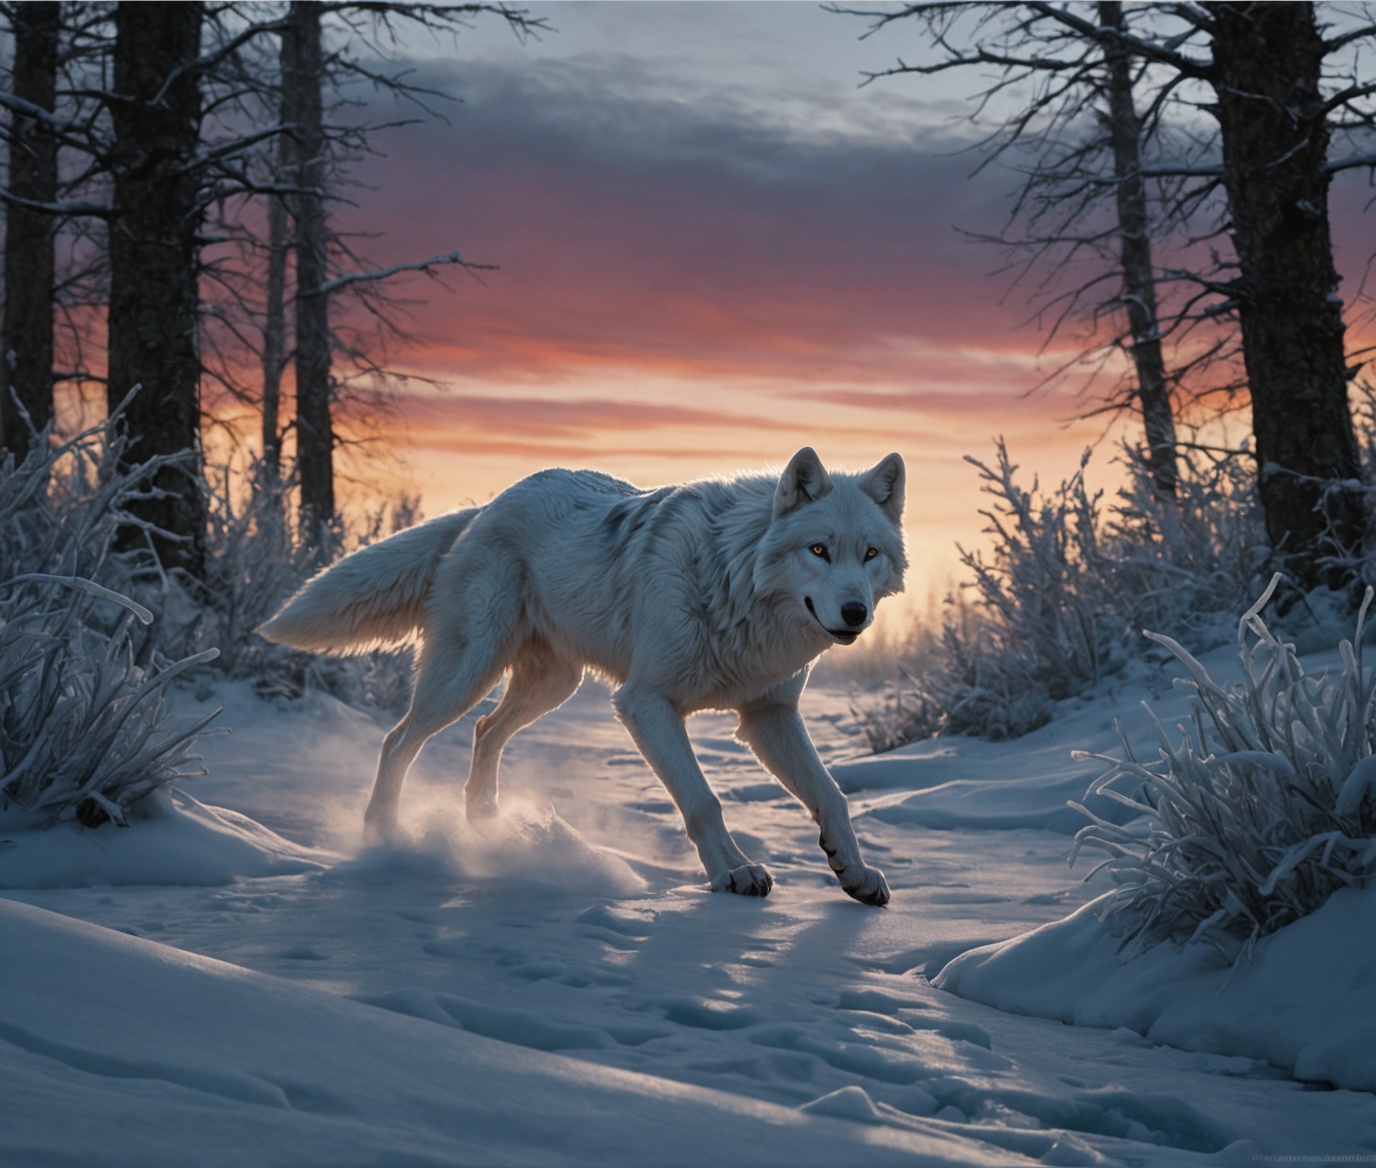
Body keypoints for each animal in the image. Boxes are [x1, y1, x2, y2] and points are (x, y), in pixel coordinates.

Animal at [259, 447, 906, 904]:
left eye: (869, 554)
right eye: (819, 550)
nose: (855, 613)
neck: (734, 577)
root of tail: (491, 504)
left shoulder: (768, 716)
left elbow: (832, 796)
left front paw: (854, 873)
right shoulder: (646, 704)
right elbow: (703, 801)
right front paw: (734, 874)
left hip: (551, 687)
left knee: (485, 732)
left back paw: (488, 825)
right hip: (466, 673)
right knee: (398, 740)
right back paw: (383, 838)